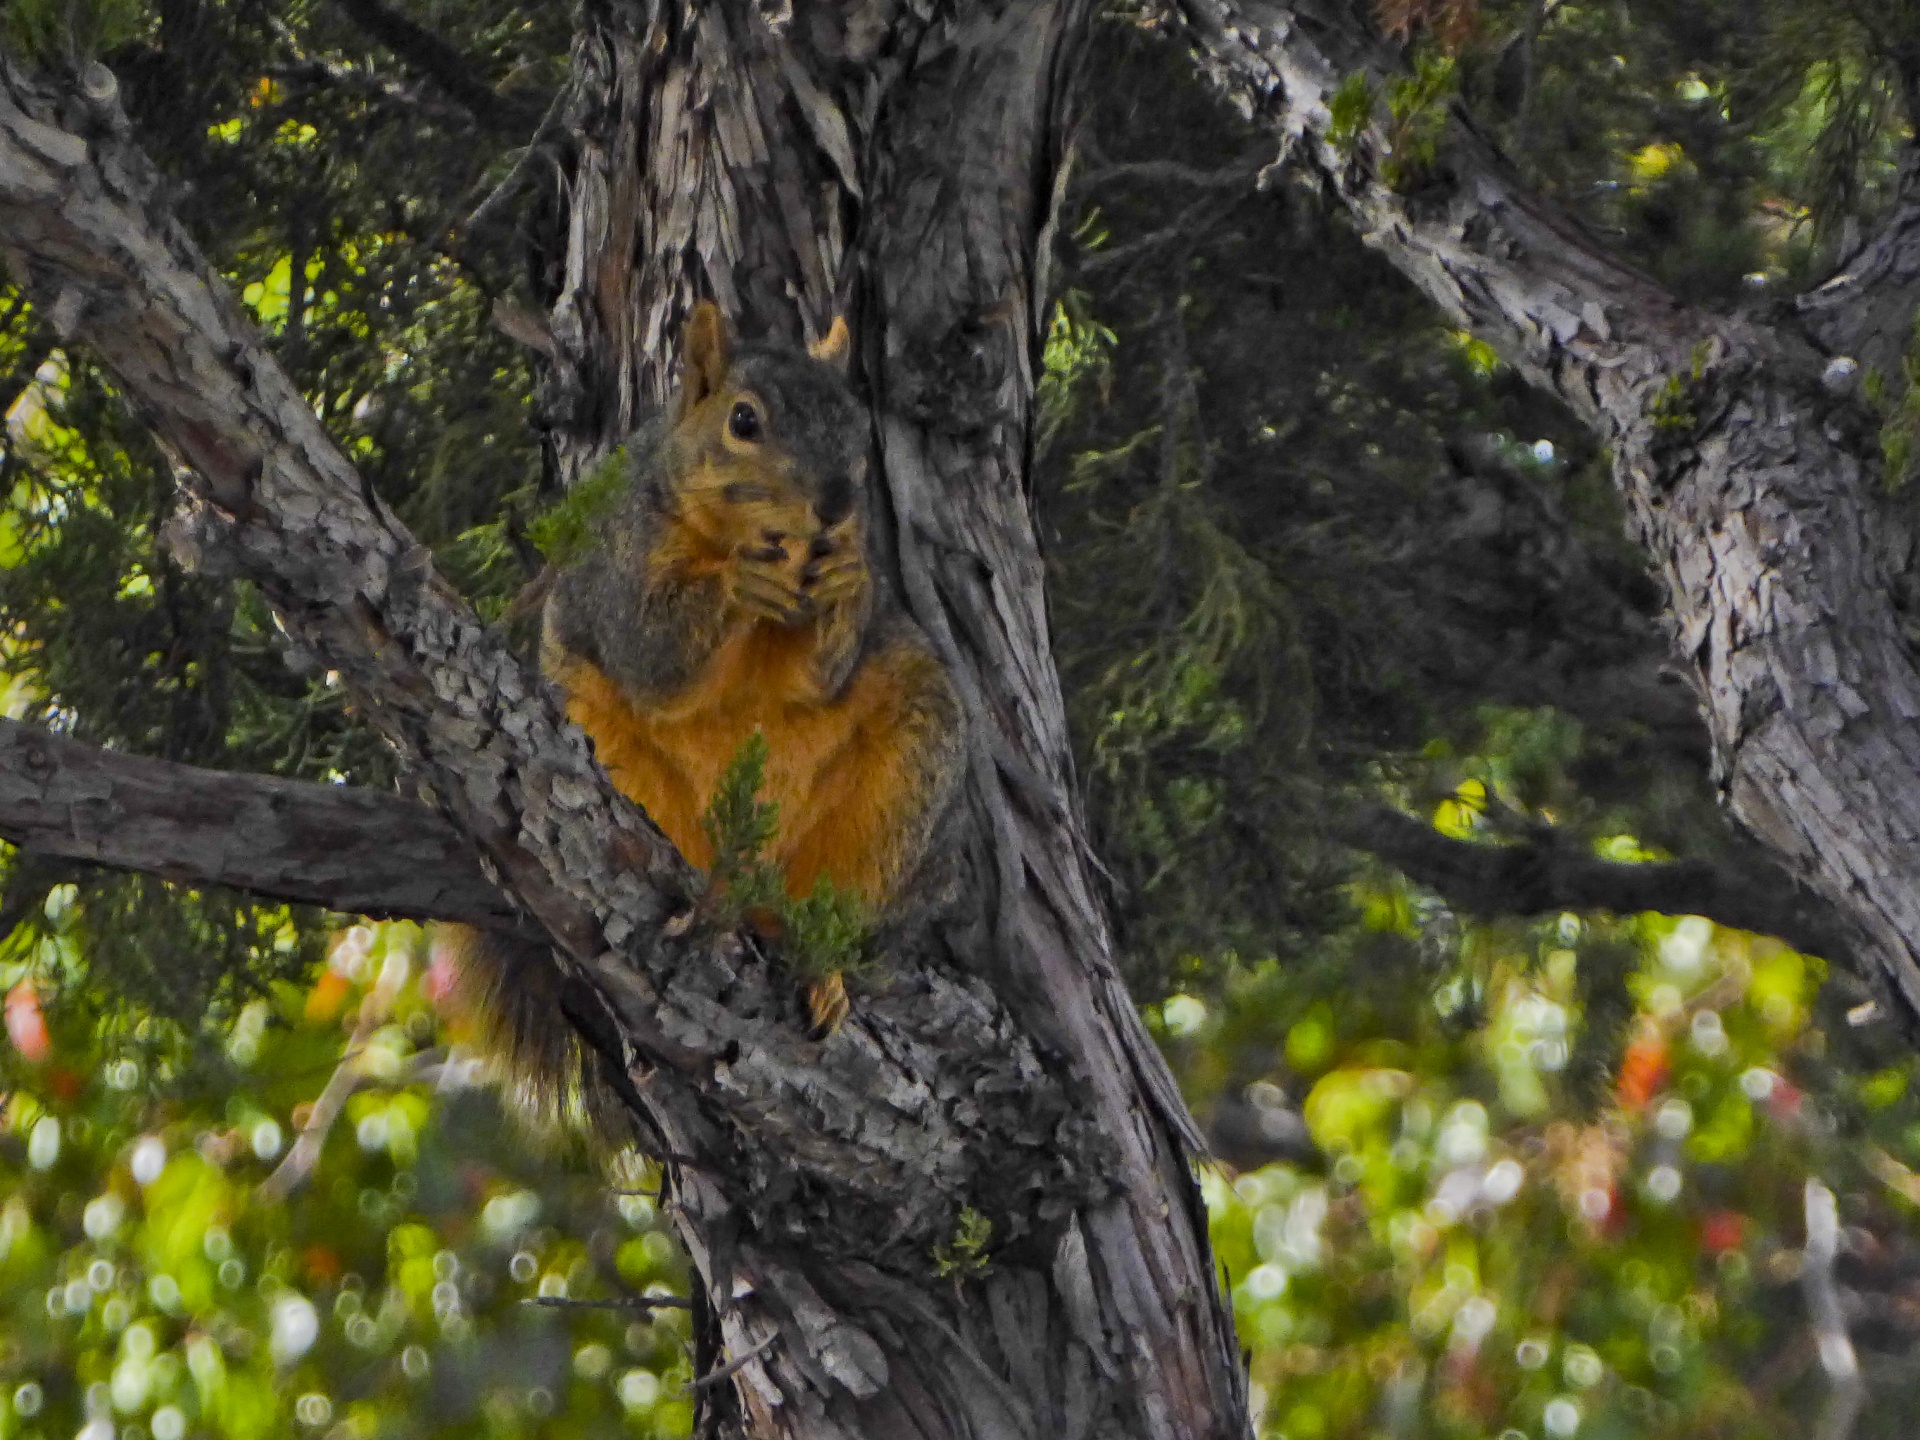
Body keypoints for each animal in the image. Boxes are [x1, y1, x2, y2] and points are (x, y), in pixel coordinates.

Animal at [441, 305, 967, 1136]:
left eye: (857, 424)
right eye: (743, 421)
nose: (835, 507)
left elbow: (822, 673)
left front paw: (848, 577)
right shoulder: (618, 565)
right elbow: (656, 659)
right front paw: (737, 580)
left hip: (909, 771)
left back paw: (825, 971)